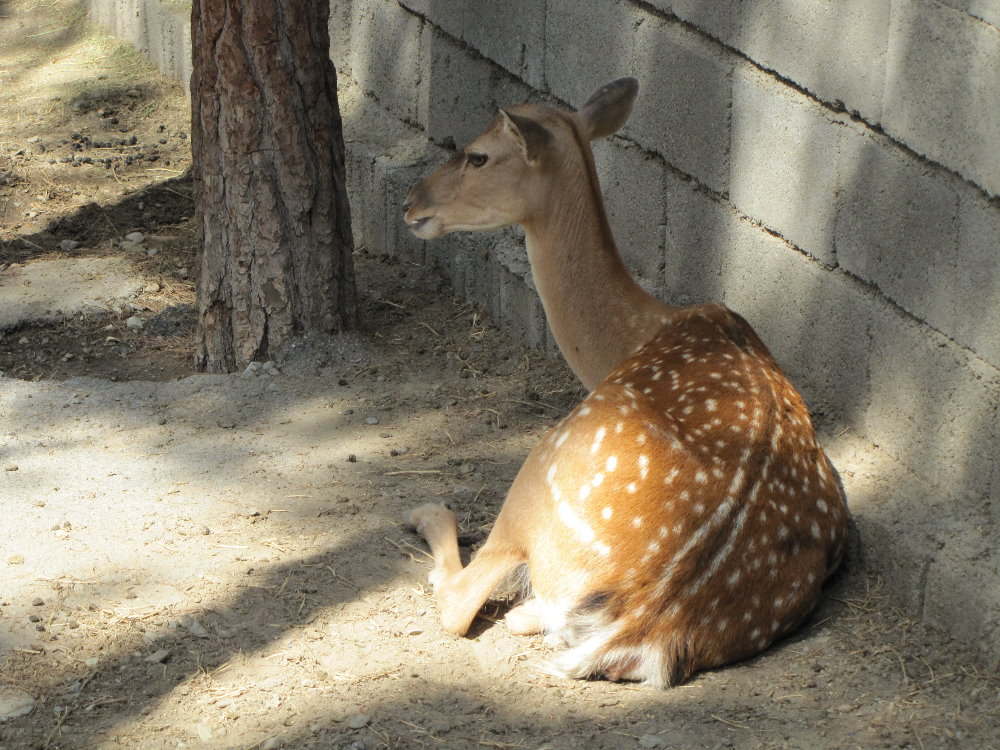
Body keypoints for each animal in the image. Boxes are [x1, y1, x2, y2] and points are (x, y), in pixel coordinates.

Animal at [401, 78, 848, 687]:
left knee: (462, 602)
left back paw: (428, 514)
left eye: (478, 155)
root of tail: (649, 620)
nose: (411, 204)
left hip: (543, 466)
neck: (636, 333)